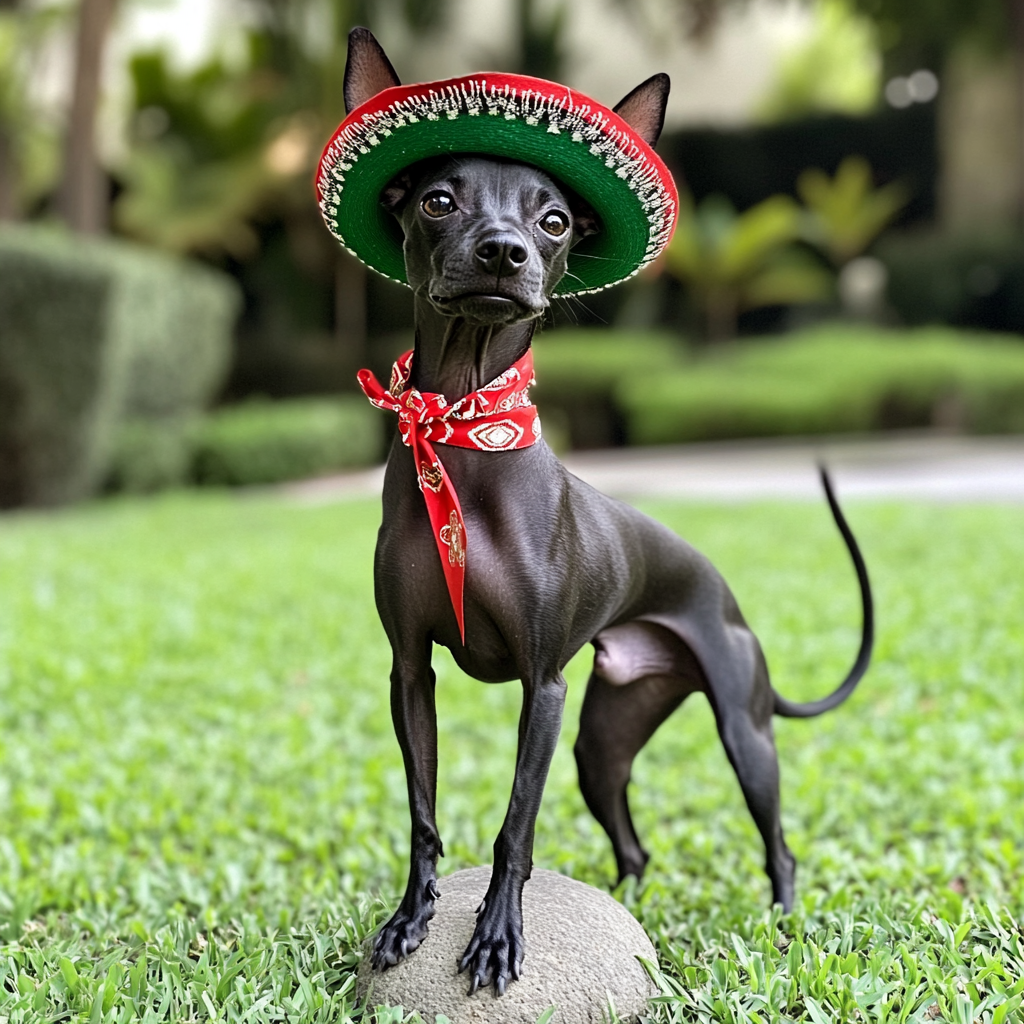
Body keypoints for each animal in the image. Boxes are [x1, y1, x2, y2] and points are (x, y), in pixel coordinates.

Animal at [342, 28, 872, 995]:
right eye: (438, 200)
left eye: (554, 221)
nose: (505, 251)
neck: (465, 434)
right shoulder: (410, 673)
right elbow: (424, 811)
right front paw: (410, 918)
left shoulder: (543, 688)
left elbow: (514, 825)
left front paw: (498, 938)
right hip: (602, 742)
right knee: (634, 846)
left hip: (743, 736)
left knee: (778, 844)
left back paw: (783, 924)